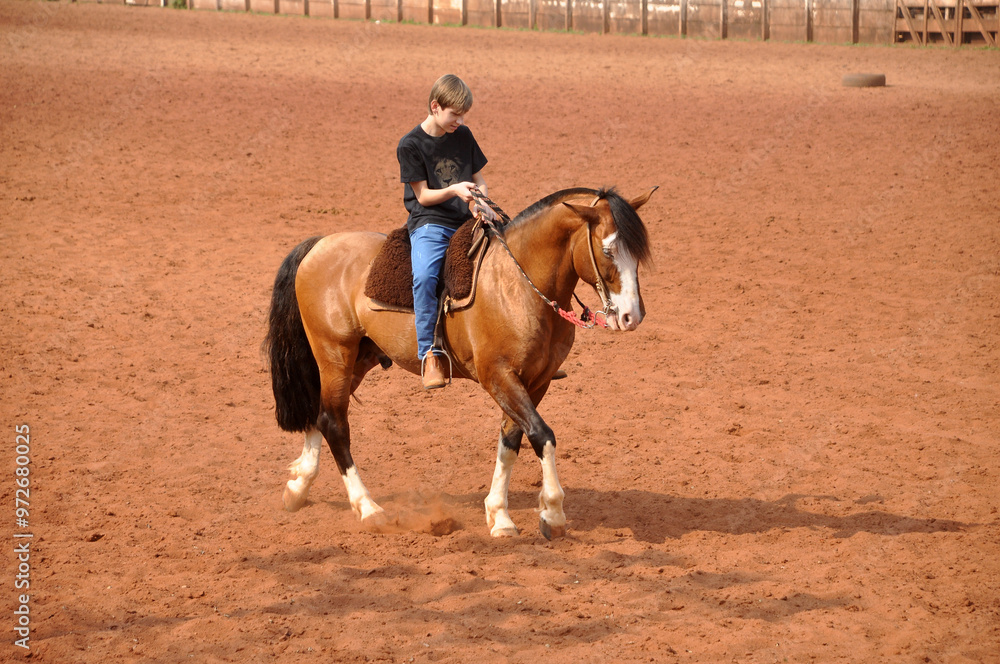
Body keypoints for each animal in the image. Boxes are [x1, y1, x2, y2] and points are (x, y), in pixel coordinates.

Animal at [262, 186, 655, 539]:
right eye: (607, 250)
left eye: (637, 253)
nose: (632, 316)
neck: (517, 285)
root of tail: (320, 244)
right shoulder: (499, 376)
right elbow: (542, 435)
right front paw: (553, 513)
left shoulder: (535, 381)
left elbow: (511, 440)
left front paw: (500, 516)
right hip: (335, 355)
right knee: (335, 425)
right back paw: (368, 508)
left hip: (359, 358)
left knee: (321, 414)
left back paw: (298, 487)